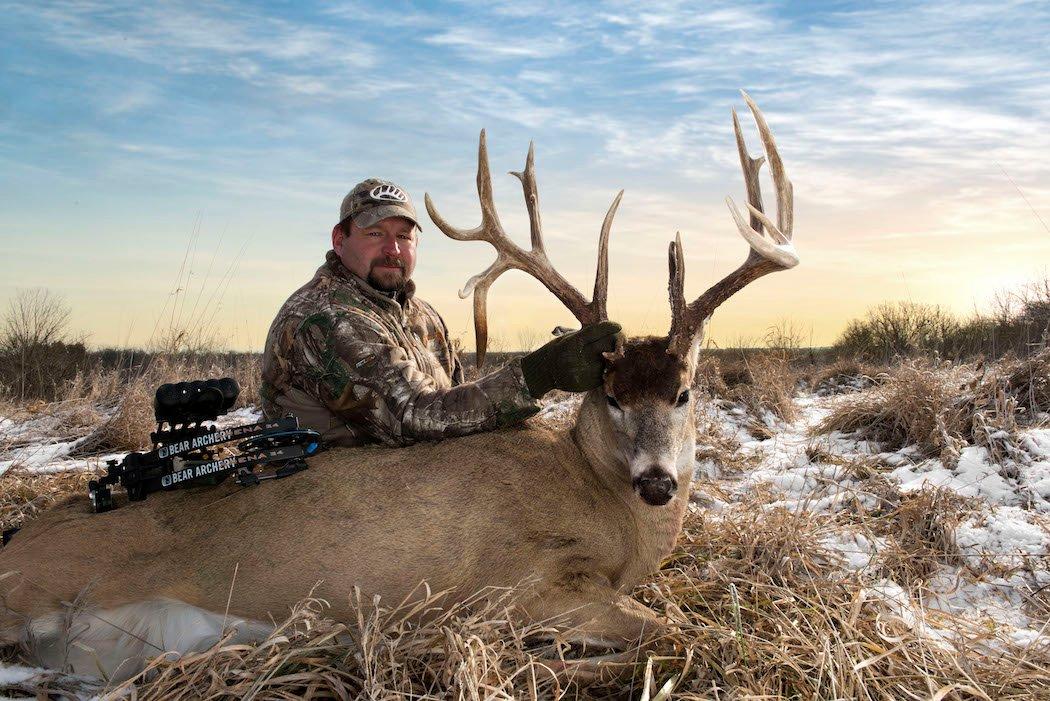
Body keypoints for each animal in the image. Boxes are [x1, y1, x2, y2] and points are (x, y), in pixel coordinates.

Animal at [0, 91, 796, 682]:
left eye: (684, 392)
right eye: (611, 394)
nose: (658, 481)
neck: (606, 507)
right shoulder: (524, 587)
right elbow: (671, 631)